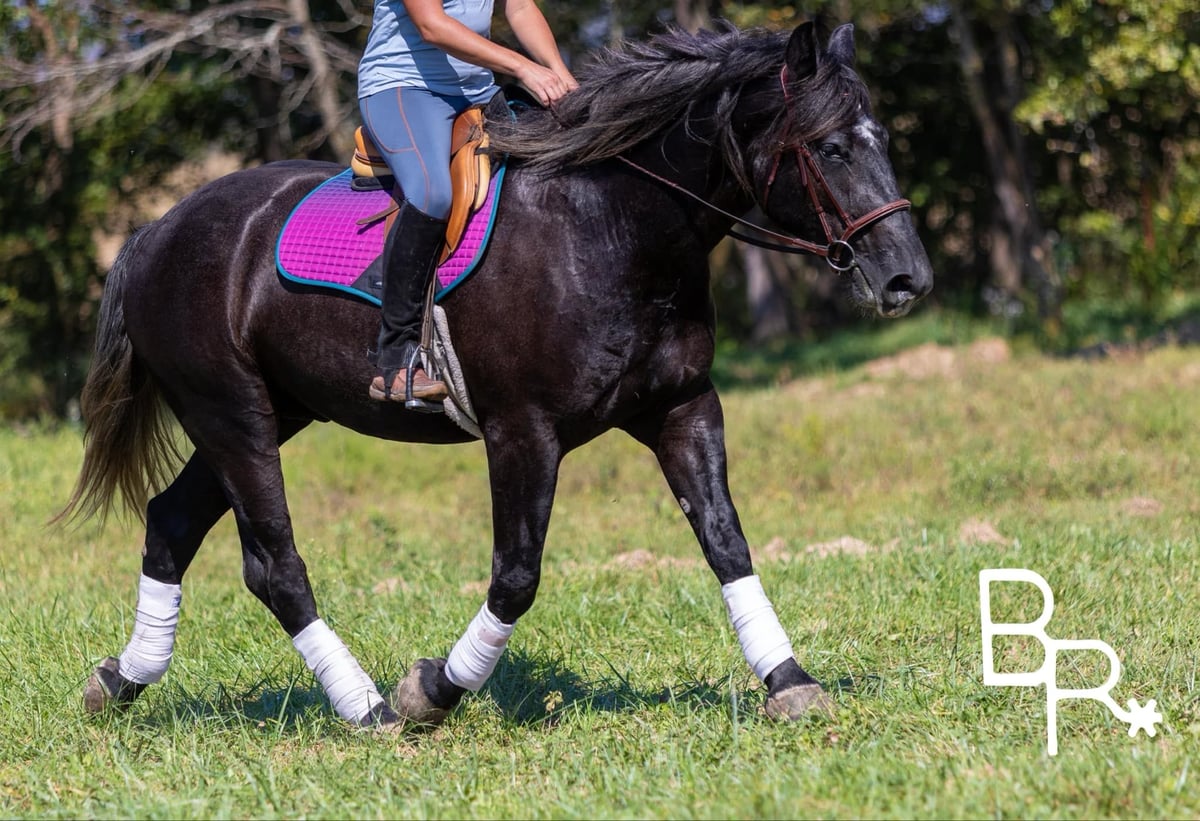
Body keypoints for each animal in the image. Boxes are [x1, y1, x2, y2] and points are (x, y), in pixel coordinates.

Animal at [64, 21, 933, 729]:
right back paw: (369, 708)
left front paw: (789, 679)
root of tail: (155, 231)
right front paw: (431, 690)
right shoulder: (523, 430)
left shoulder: (683, 407)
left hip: (266, 413)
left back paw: (120, 680)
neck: (610, 225)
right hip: (233, 416)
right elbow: (516, 574)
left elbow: (726, 541)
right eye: (830, 148)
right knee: (274, 564)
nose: (908, 280)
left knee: (171, 522)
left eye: (884, 139)